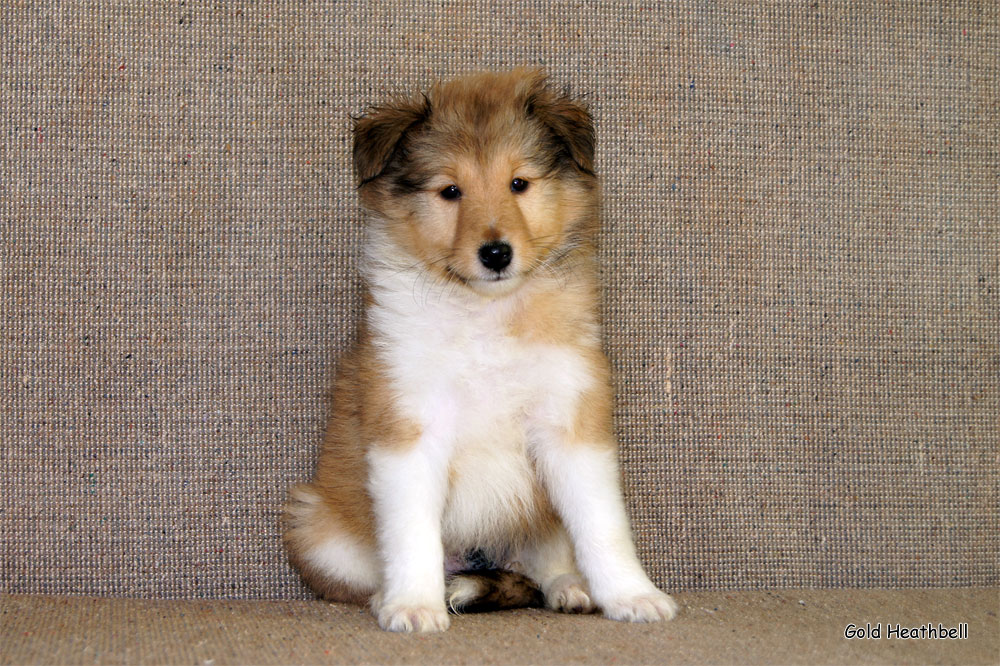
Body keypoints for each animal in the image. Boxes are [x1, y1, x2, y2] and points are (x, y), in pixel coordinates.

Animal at [284, 70, 680, 632]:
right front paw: (414, 605)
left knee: (543, 562)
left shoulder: (571, 422)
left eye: (519, 183)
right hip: (317, 526)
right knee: (361, 578)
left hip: (538, 510)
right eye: (450, 191)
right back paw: (394, 596)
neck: (486, 315)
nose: (496, 253)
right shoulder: (409, 425)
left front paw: (633, 595)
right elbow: (411, 530)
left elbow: (602, 524)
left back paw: (572, 588)